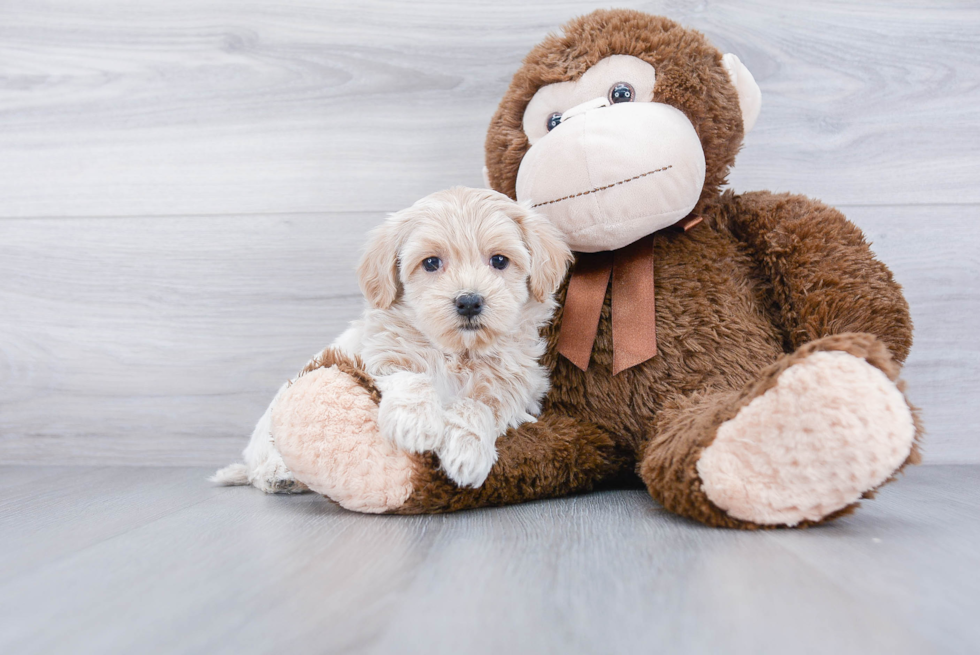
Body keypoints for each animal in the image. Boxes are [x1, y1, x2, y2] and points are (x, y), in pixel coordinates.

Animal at [211, 186, 572, 492]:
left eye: (499, 260)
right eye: (431, 263)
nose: (469, 301)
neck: (458, 353)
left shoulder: (515, 394)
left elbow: (477, 406)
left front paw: (466, 452)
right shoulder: (376, 360)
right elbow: (411, 377)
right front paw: (414, 422)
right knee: (261, 466)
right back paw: (280, 474)